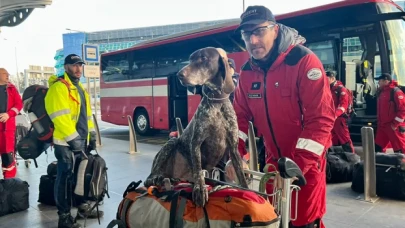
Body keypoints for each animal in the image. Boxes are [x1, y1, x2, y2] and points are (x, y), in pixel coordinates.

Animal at [144, 46, 248, 207]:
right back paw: (158, 178)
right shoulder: (196, 142)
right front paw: (200, 189)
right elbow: (198, 170)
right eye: (190, 59)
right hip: (171, 142)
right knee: (149, 178)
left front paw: (246, 188)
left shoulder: (233, 146)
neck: (216, 102)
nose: (179, 75)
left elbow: (240, 173)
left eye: (203, 58)